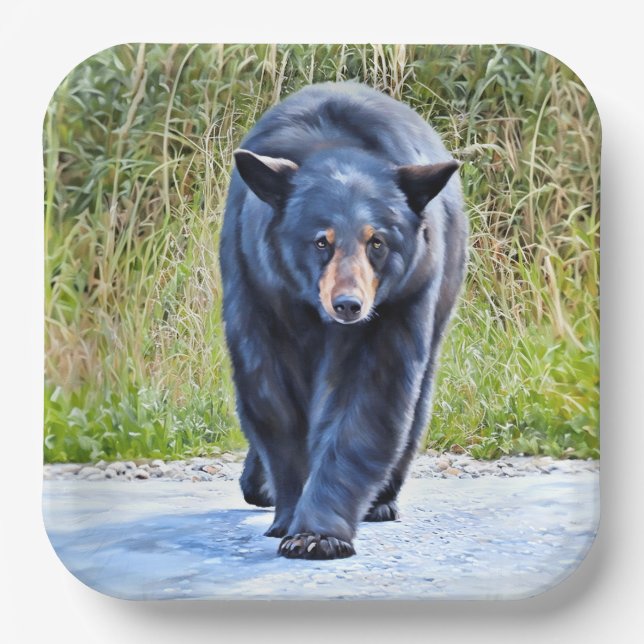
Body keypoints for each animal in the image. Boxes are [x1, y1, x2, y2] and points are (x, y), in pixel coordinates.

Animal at [219, 82, 468, 559]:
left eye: (377, 241)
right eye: (321, 241)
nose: (348, 304)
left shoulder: (400, 299)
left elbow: (370, 398)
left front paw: (317, 533)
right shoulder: (258, 285)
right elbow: (272, 399)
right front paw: (288, 514)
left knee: (417, 397)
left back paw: (381, 500)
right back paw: (258, 487)